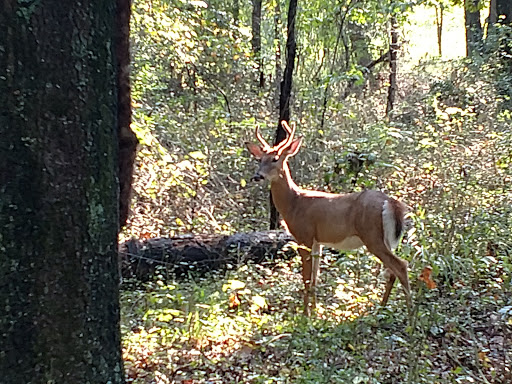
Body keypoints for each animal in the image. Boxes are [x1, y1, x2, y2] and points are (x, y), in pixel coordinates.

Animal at [245, 122, 412, 316]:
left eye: (275, 159)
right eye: (259, 160)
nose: (257, 176)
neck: (294, 203)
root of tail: (391, 202)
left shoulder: (304, 236)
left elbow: (306, 278)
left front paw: (305, 315)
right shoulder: (318, 242)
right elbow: (315, 278)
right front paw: (316, 312)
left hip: (372, 236)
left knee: (401, 265)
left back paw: (410, 314)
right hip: (388, 240)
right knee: (392, 271)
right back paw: (381, 309)